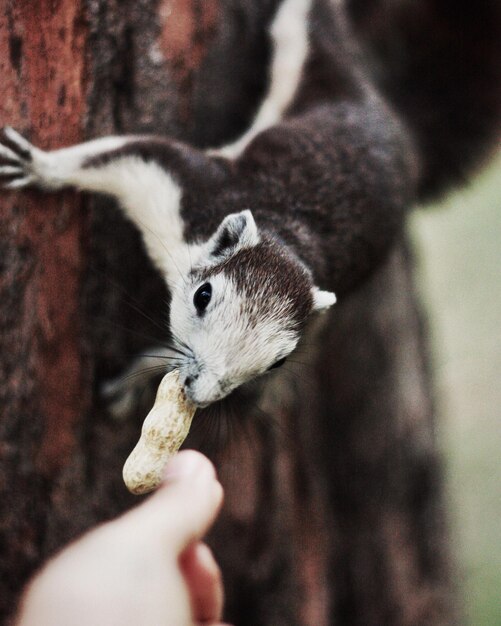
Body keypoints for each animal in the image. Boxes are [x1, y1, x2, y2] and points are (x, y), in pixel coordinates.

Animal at [0, 0, 500, 408]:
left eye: (279, 361)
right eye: (203, 296)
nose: (201, 395)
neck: (286, 234)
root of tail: (397, 129)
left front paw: (139, 378)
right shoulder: (183, 191)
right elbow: (129, 154)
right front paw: (40, 165)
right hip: (310, 45)